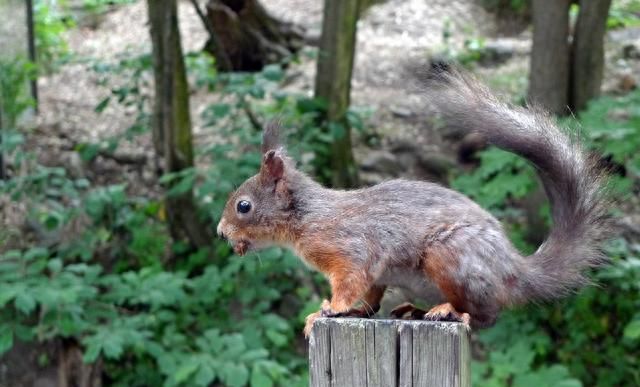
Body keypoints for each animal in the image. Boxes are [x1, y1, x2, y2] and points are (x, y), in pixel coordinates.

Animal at [218, 71, 612, 338]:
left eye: (243, 206)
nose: (221, 232)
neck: (308, 217)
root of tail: (514, 270)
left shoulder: (350, 249)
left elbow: (350, 282)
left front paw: (329, 310)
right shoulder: (374, 273)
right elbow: (370, 296)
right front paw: (354, 312)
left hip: (450, 256)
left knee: (486, 315)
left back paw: (449, 312)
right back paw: (416, 309)